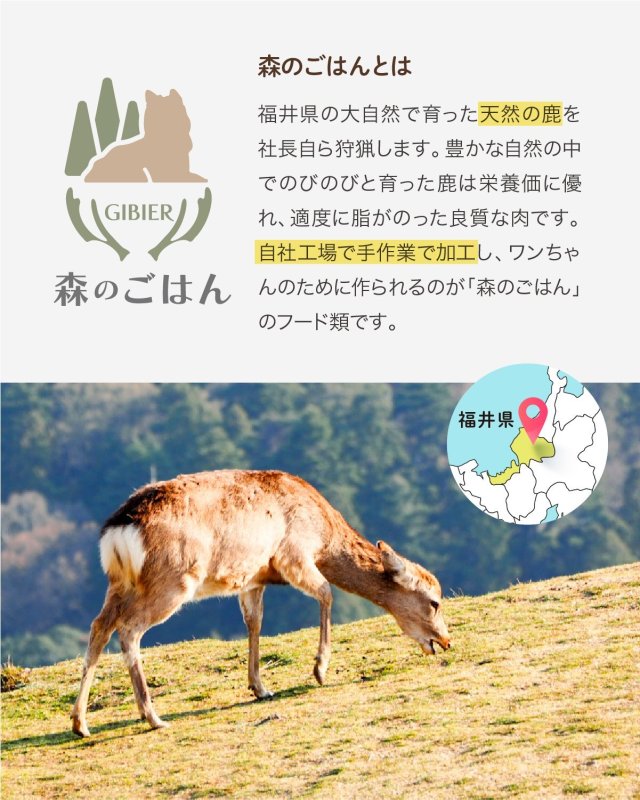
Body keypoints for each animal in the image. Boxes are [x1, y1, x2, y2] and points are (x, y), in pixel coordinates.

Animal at [71, 470, 451, 737]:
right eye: (434, 601)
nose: (446, 641)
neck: (324, 536)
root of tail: (118, 530)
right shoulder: (293, 555)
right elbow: (326, 592)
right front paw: (320, 669)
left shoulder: (252, 578)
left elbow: (255, 622)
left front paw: (260, 688)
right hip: (173, 580)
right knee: (129, 629)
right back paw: (152, 717)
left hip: (119, 582)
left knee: (99, 626)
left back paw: (80, 723)